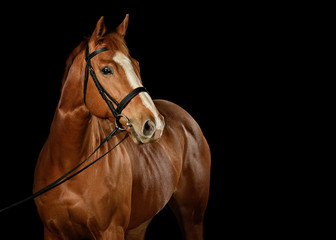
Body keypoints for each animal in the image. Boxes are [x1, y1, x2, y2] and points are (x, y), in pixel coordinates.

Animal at [32, 15, 210, 240]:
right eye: (106, 70)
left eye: (137, 65)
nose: (154, 124)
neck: (68, 165)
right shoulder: (52, 232)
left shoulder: (111, 230)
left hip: (192, 217)